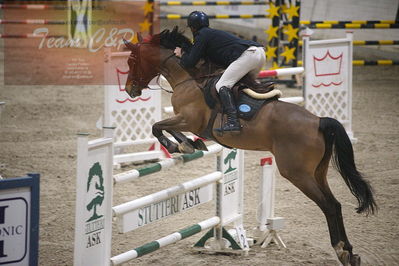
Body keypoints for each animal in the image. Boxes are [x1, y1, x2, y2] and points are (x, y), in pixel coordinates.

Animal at [122, 28, 378, 264]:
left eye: (131, 60)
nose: (129, 90)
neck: (189, 79)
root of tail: (319, 121)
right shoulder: (185, 121)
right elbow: (168, 129)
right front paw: (189, 144)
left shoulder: (189, 119)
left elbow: (157, 126)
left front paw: (179, 146)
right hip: (317, 172)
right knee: (335, 203)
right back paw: (350, 253)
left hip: (297, 173)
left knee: (329, 206)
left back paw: (341, 251)